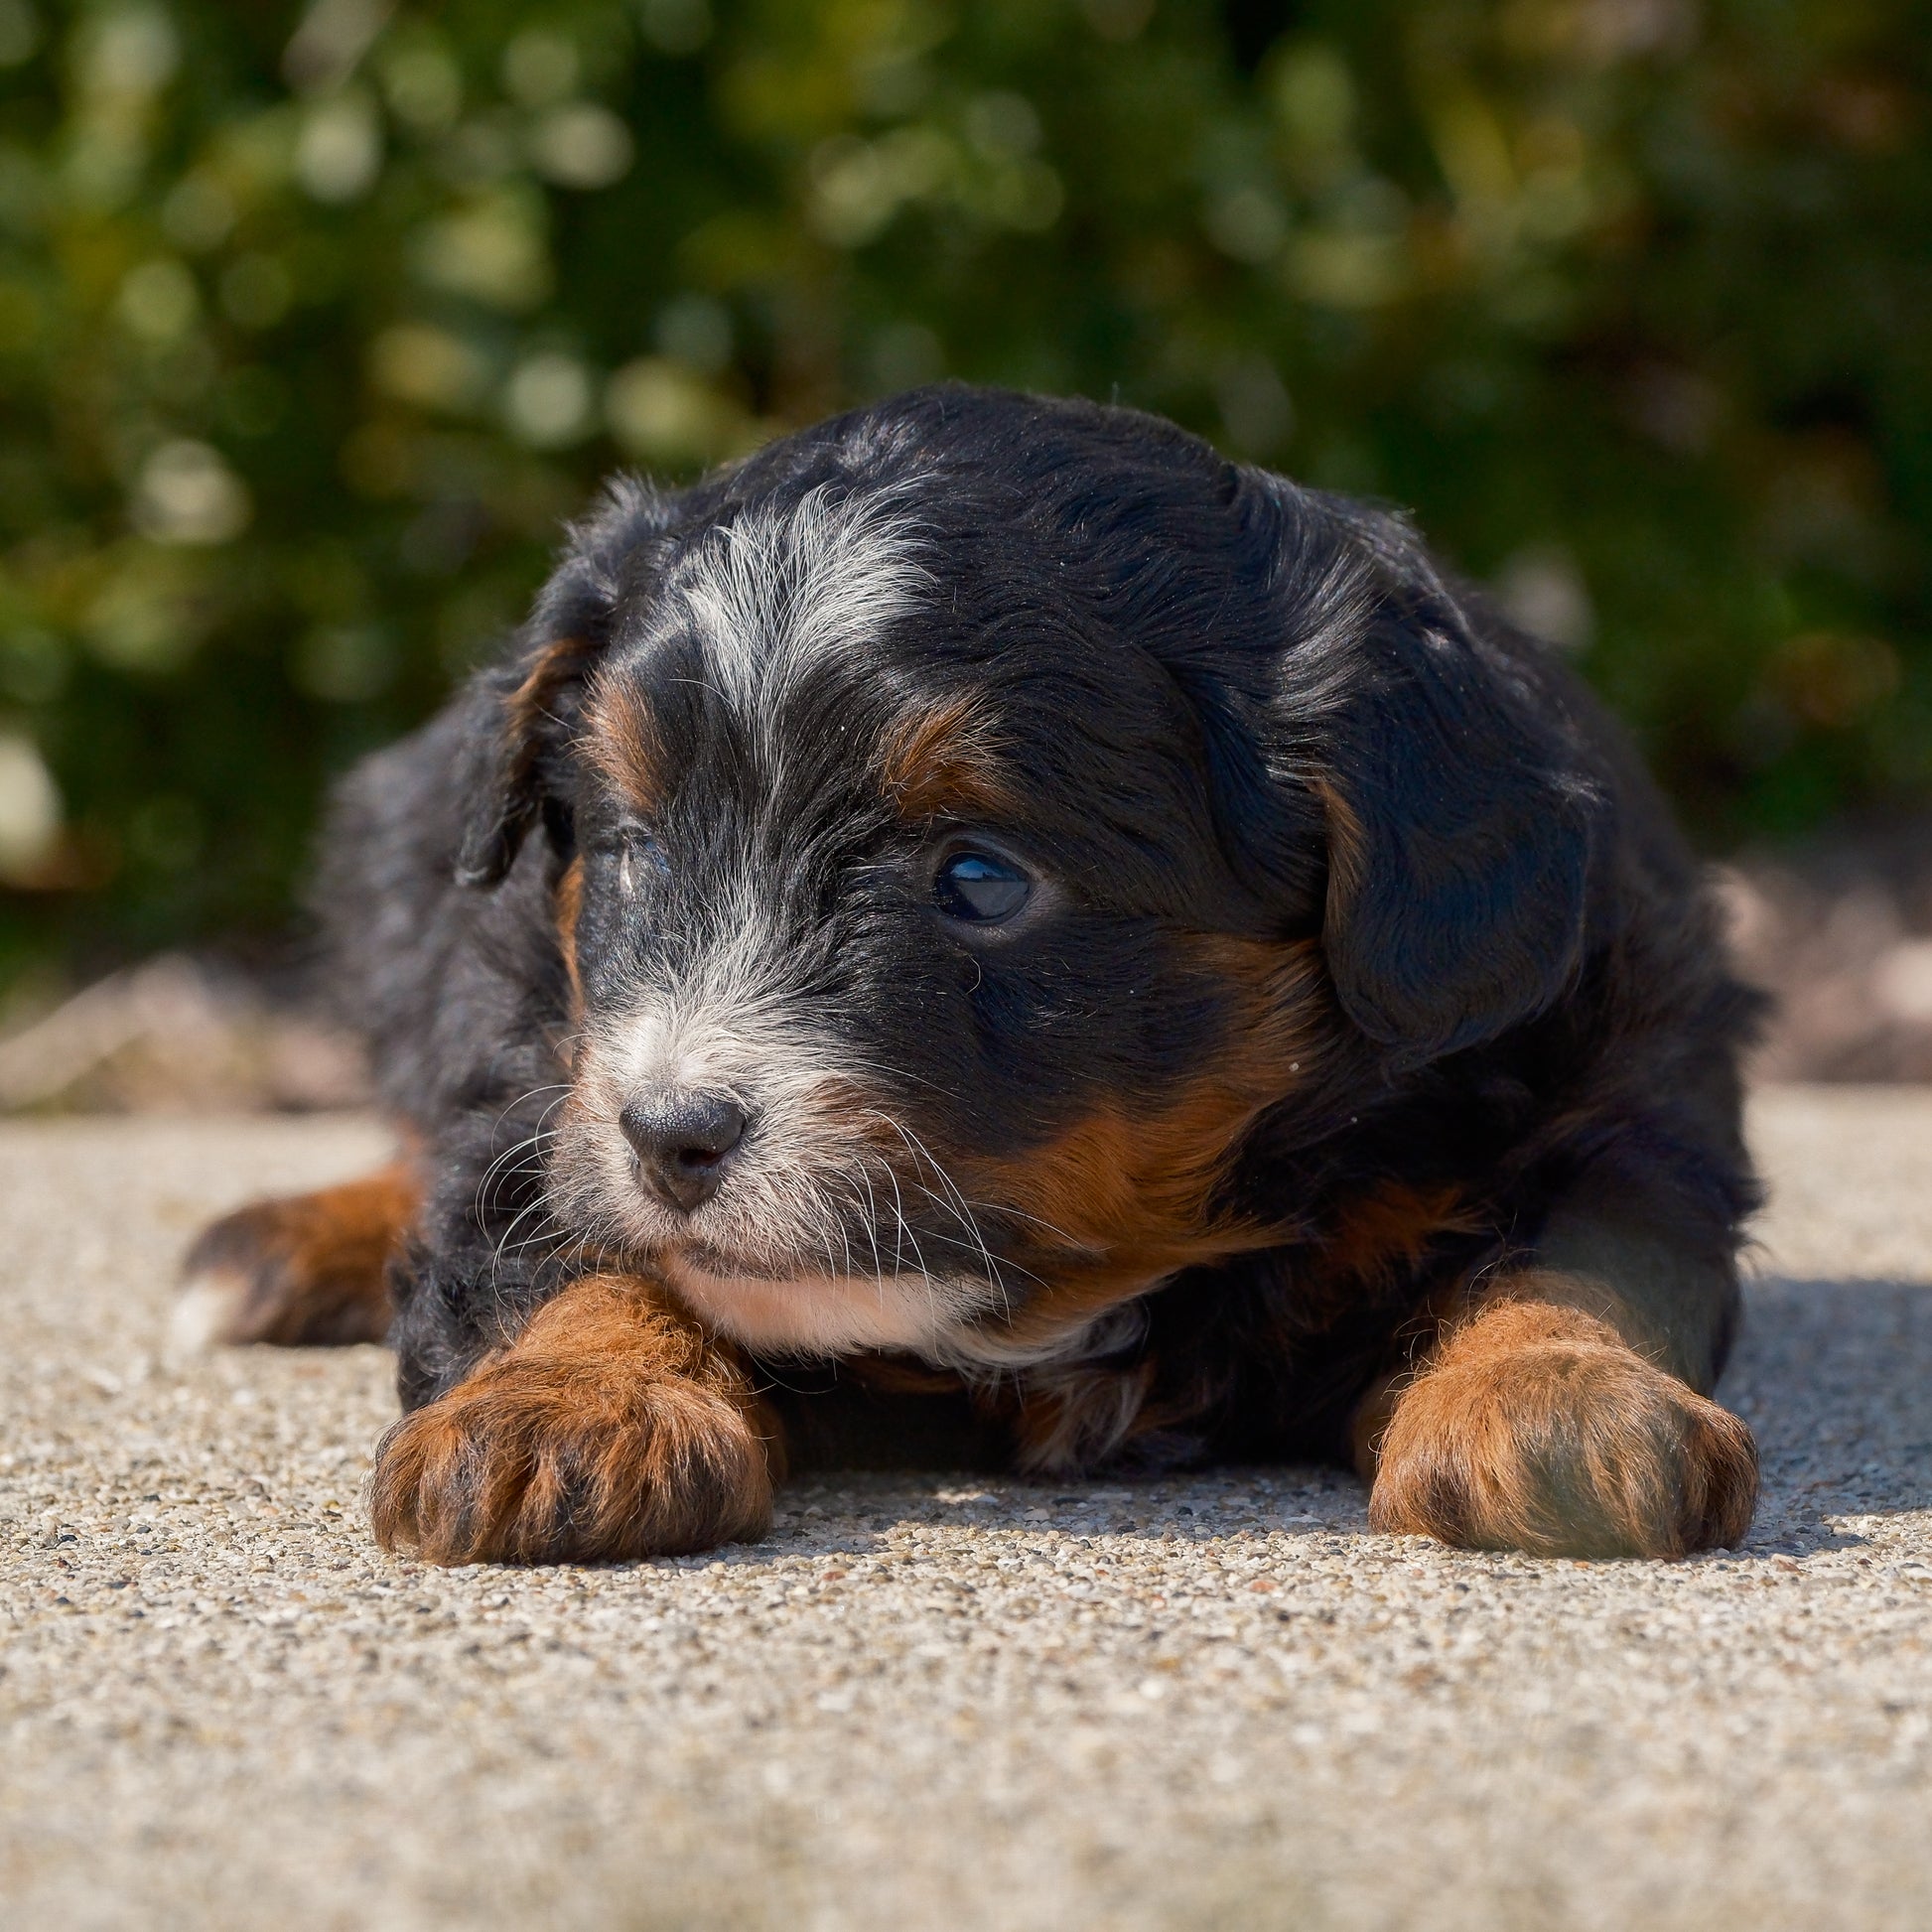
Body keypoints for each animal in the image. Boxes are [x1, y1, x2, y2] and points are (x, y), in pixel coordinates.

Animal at [181, 384, 1769, 1561]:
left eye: (980, 881)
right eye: (630, 848)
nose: (670, 1137)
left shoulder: (1609, 1066)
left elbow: (1588, 1242)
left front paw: (1557, 1398)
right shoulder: (535, 1043)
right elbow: (537, 1227)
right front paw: (561, 1406)